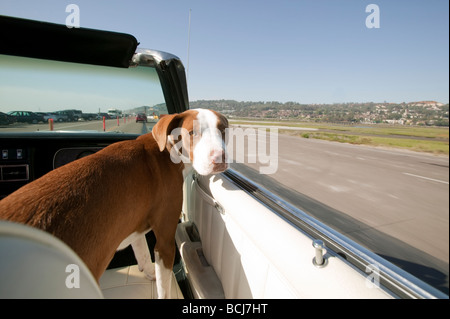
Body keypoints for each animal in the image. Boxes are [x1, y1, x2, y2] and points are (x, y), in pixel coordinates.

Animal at [0, 109, 227, 298]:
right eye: (192, 132)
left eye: (223, 130)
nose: (220, 158)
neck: (167, 151)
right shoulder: (164, 241)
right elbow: (164, 288)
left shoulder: (135, 222)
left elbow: (142, 250)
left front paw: (149, 272)